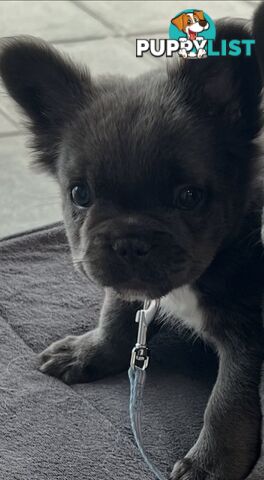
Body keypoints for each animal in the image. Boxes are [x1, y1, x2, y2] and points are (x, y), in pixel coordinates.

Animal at [0, 4, 264, 480]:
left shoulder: (249, 333)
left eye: (189, 197)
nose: (129, 242)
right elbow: (118, 313)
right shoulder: (127, 289)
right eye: (79, 194)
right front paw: (90, 350)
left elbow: (228, 399)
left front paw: (211, 463)